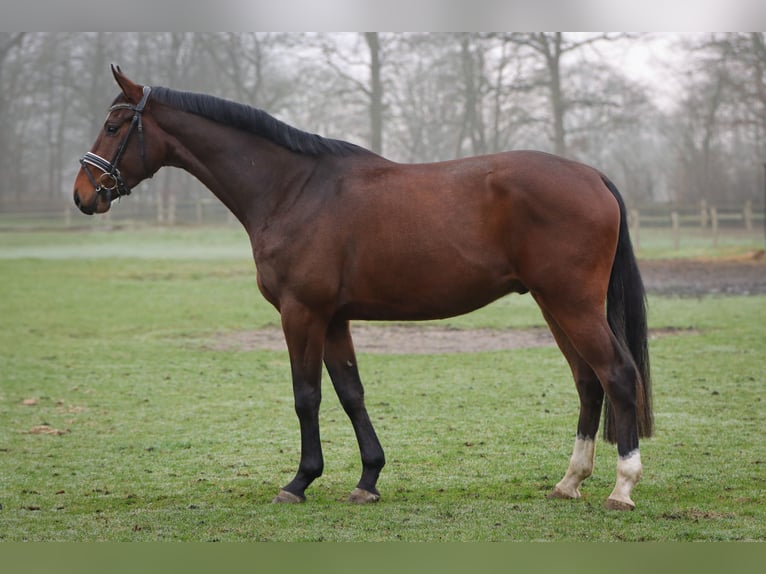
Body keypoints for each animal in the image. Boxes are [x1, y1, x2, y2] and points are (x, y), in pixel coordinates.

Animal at [73, 67, 656, 512]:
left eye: (113, 124)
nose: (83, 194)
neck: (294, 189)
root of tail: (592, 176)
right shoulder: (334, 317)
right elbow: (350, 393)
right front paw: (368, 479)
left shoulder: (301, 313)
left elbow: (306, 395)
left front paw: (299, 481)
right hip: (554, 306)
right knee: (588, 381)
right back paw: (570, 482)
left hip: (572, 304)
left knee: (617, 374)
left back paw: (622, 489)